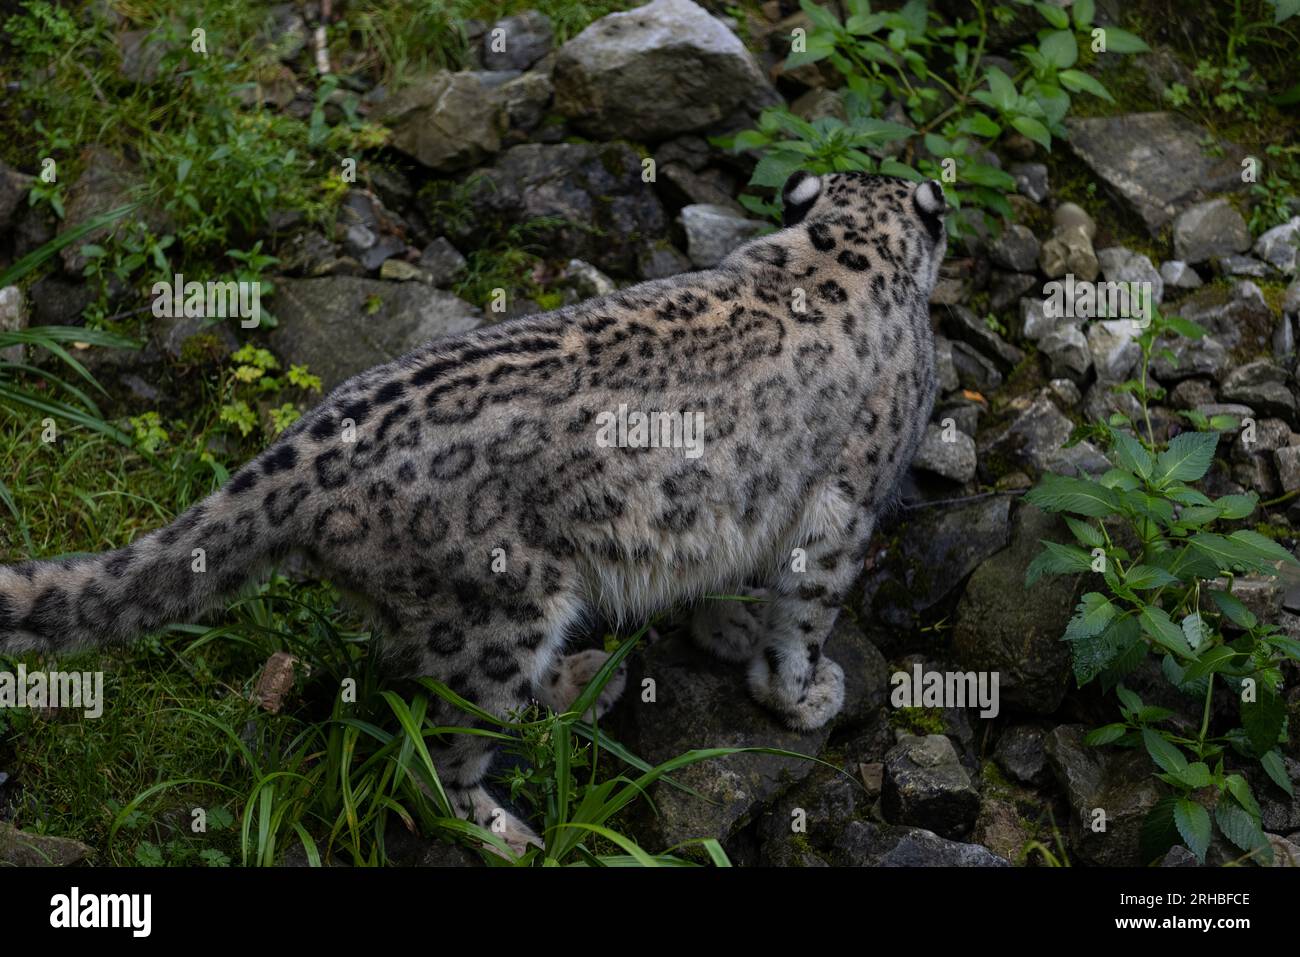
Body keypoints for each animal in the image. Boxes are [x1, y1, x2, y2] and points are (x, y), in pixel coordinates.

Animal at [0, 171, 948, 853]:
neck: (849, 245)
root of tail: (300, 448)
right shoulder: (848, 505)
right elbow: (806, 613)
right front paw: (803, 694)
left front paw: (727, 633)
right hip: (498, 610)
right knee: (436, 756)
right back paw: (509, 828)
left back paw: (585, 681)